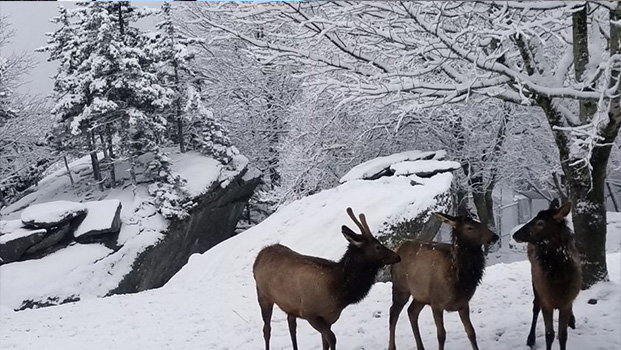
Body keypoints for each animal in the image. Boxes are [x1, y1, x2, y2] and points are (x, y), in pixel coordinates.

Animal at [253, 206, 402, 348]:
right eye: (377, 246)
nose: (397, 256)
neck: (339, 293)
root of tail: (259, 256)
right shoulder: (310, 313)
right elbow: (332, 338)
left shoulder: (329, 317)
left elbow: (325, 342)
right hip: (263, 295)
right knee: (267, 329)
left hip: (290, 304)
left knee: (291, 324)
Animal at [388, 212, 498, 350]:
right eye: (469, 227)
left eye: (480, 223)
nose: (495, 236)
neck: (459, 280)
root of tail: (398, 247)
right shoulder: (436, 303)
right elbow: (441, 335)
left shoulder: (463, 303)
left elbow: (471, 332)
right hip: (401, 288)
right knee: (393, 313)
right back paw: (392, 346)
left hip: (421, 295)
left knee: (412, 311)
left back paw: (420, 347)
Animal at [512, 200, 580, 350]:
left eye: (540, 223)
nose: (515, 235)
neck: (558, 280)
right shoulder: (546, 300)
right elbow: (549, 334)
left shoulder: (566, 302)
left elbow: (563, 335)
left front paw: (569, 323)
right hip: (535, 282)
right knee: (535, 306)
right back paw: (530, 339)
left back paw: (572, 320)